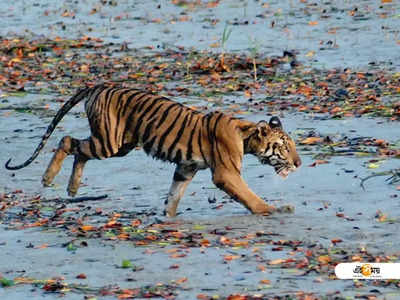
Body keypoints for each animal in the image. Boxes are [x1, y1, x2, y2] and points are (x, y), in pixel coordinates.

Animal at [5, 84, 300, 216]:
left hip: (120, 144)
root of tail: (99, 85)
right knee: (68, 141)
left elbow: (173, 195)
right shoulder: (226, 174)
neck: (247, 137)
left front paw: (168, 216)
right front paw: (274, 209)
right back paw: (49, 179)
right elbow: (250, 196)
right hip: (109, 142)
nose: (298, 164)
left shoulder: (186, 167)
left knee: (79, 151)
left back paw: (72, 188)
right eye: (285, 147)